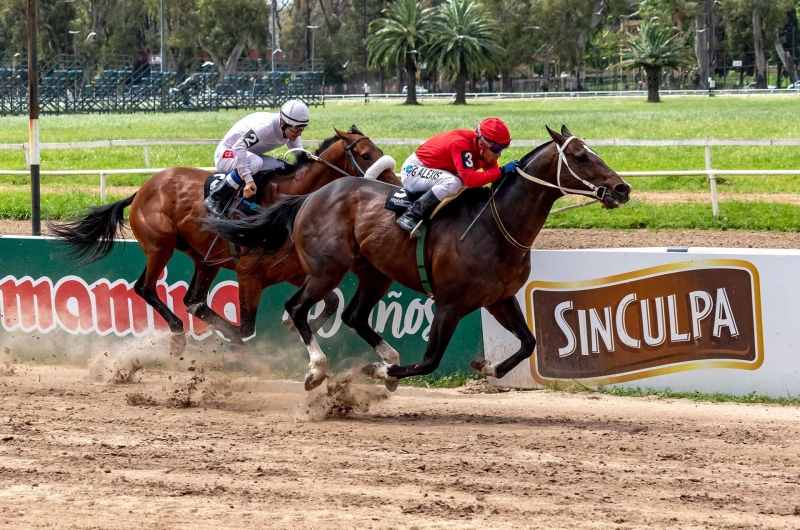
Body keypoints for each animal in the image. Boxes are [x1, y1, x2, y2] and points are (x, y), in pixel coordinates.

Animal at [50, 125, 400, 352]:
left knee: (192, 299)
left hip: (205, 259)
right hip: (160, 245)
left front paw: (294, 326)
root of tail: (142, 189)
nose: (395, 186)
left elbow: (329, 303)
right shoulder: (249, 274)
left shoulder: (294, 270)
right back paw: (178, 333)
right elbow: (245, 327)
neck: (285, 201)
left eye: (380, 151)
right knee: (145, 288)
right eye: (366, 154)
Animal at [205, 124, 632, 388]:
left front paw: (486, 365)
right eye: (581, 157)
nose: (622, 189)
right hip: (327, 270)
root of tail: (311, 195)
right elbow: (429, 361)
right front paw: (382, 373)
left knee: (353, 315)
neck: (494, 225)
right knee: (297, 308)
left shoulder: (499, 298)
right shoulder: (450, 303)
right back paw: (318, 369)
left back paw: (385, 355)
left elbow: (528, 343)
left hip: (375, 273)